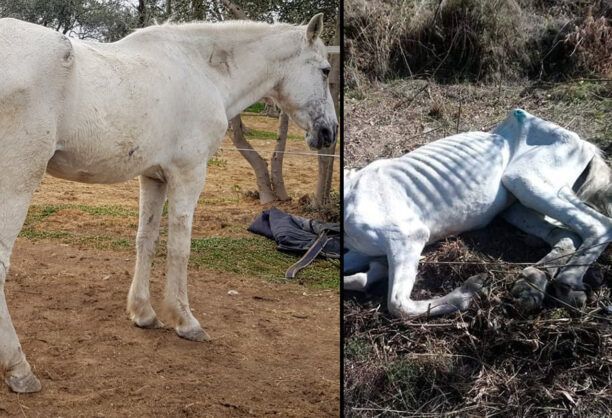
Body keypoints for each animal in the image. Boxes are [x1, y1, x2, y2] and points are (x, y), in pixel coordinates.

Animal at [0, 13, 340, 392]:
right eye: (325, 70)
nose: (330, 132)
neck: (203, 70)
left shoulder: (154, 178)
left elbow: (146, 241)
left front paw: (144, 313)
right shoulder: (188, 175)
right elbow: (180, 247)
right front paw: (185, 320)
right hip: (17, 181)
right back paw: (20, 370)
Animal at [346, 108, 608, 316]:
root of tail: (583, 142)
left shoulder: (408, 236)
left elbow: (398, 305)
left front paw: (469, 291)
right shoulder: (362, 251)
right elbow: (354, 277)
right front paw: (376, 271)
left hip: (525, 180)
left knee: (599, 225)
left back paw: (568, 283)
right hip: (517, 205)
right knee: (567, 234)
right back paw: (532, 283)